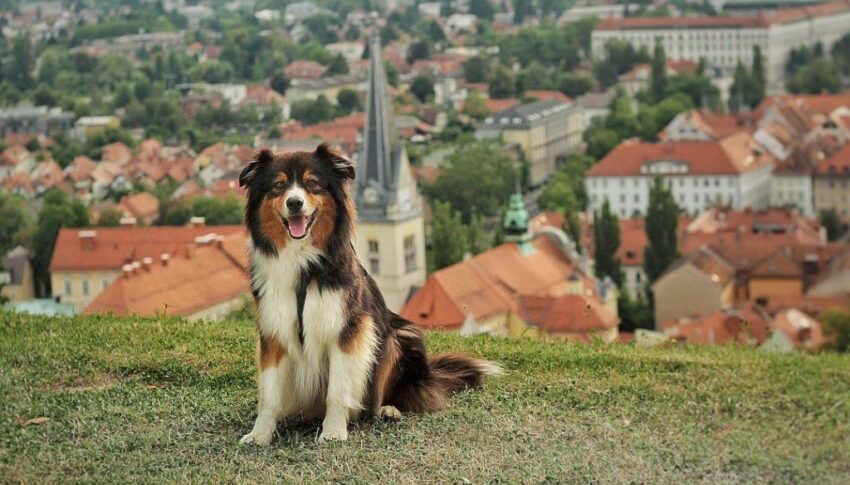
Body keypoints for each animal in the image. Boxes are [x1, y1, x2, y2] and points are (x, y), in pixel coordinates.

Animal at [235, 142, 496, 444]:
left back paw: (387, 409)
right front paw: (260, 434)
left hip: (398, 336)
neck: (303, 265)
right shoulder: (274, 333)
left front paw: (333, 431)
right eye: (278, 186)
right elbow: (270, 394)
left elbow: (338, 390)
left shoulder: (349, 330)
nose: (295, 203)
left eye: (312, 184)